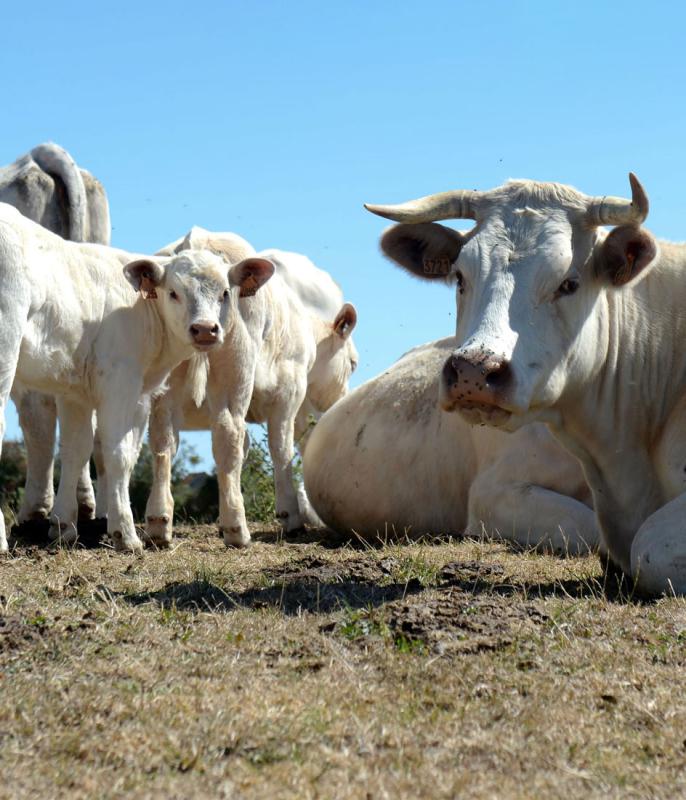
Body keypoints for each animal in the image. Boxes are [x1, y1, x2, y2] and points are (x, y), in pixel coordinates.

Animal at [0, 206, 272, 552]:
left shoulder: (74, 392)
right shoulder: (121, 382)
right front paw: (125, 534)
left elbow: (76, 449)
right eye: (173, 293)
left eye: (225, 292)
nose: (205, 329)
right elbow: (117, 453)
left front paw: (63, 527)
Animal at [145, 228, 360, 548]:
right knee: (227, 431)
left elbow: (242, 452)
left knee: (163, 439)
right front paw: (290, 516)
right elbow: (282, 448)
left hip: (168, 382)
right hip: (235, 371)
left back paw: (159, 523)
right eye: (353, 363)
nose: (343, 399)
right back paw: (237, 529)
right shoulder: (290, 394)